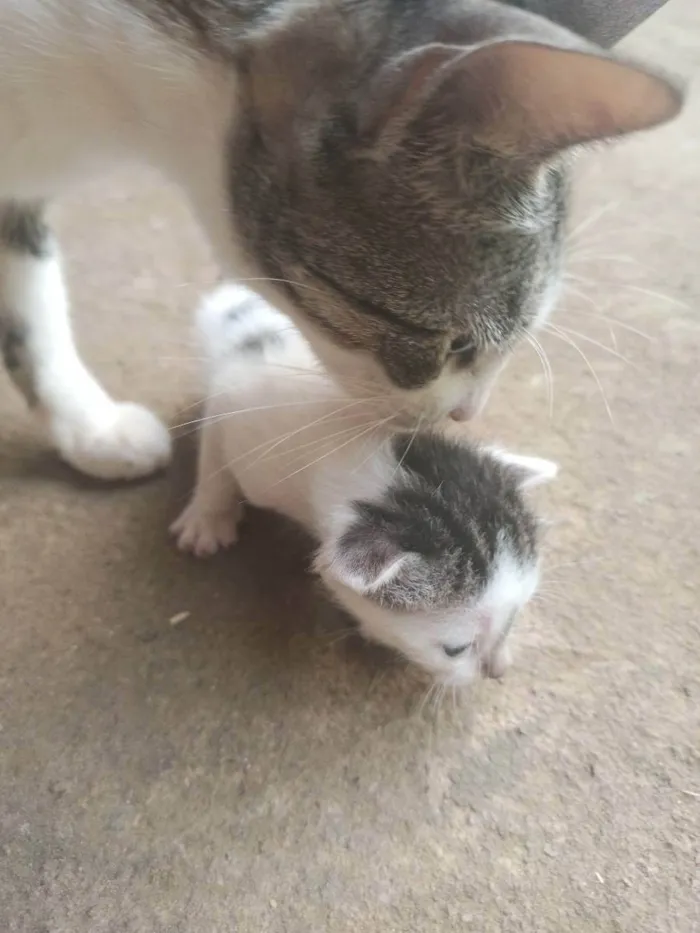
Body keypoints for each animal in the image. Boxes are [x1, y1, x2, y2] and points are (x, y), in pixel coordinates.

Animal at [172, 284, 556, 684]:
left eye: (515, 617)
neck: (361, 445)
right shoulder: (234, 405)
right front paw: (207, 518)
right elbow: (214, 454)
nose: (496, 672)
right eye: (455, 650)